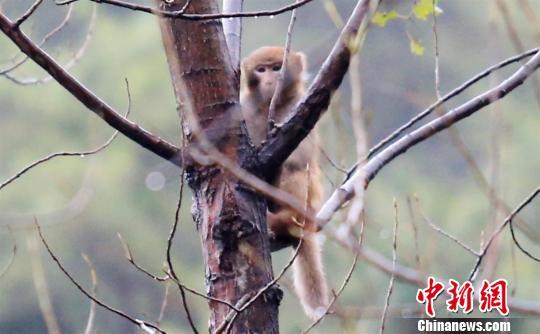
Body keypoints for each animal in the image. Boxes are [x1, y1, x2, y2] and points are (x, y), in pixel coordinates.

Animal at [240, 46, 330, 318]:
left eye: (277, 67)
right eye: (262, 70)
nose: (272, 80)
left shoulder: (299, 108)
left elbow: (300, 159)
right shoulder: (243, 109)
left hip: (308, 206)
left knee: (298, 172)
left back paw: (282, 217)